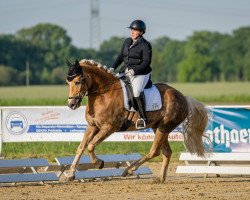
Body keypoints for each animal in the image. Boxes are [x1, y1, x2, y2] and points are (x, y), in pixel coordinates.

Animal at [65, 58, 208, 183]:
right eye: (68, 82)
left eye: (77, 82)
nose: (71, 104)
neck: (104, 93)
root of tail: (183, 97)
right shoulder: (93, 126)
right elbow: (81, 147)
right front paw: (70, 174)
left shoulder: (110, 127)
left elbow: (91, 145)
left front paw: (99, 163)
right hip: (159, 128)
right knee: (166, 152)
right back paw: (160, 178)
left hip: (164, 127)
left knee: (154, 151)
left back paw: (129, 170)